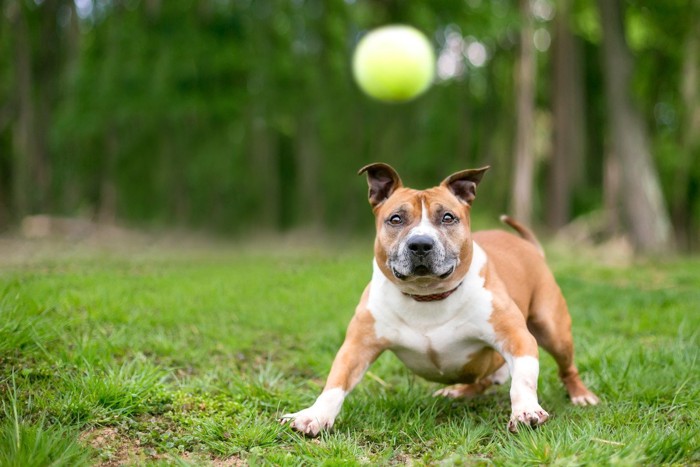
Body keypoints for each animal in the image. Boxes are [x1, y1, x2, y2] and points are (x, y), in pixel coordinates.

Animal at [282, 164, 600, 436]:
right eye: (395, 218)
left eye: (447, 217)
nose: (421, 244)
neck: (427, 296)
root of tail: (529, 246)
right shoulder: (357, 346)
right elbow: (335, 383)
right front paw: (314, 416)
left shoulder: (517, 337)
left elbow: (522, 379)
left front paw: (525, 411)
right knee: (484, 378)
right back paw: (458, 391)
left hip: (552, 329)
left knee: (566, 367)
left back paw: (581, 396)